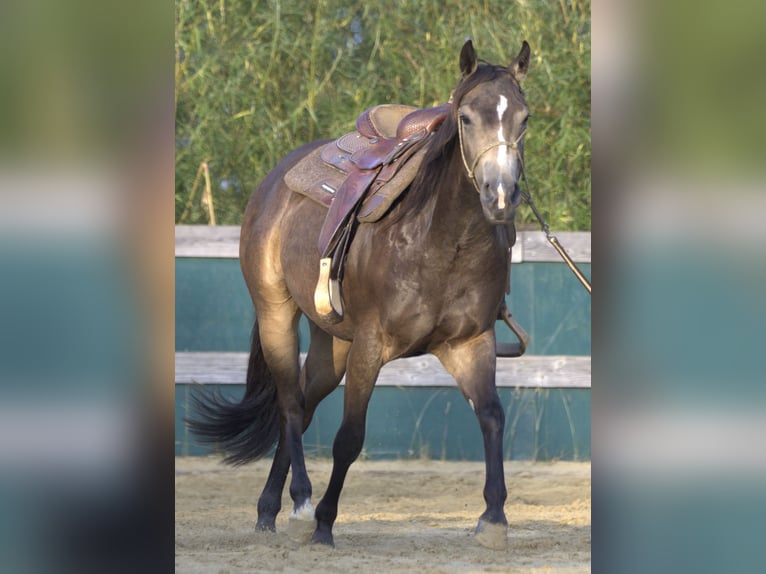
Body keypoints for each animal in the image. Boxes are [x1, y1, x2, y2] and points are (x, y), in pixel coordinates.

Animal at [188, 39, 531, 550]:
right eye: (467, 117)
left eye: (524, 118)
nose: (501, 196)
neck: (442, 238)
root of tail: (275, 180)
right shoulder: (372, 346)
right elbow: (349, 437)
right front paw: (324, 523)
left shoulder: (469, 344)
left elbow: (491, 416)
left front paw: (493, 518)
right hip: (277, 315)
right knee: (291, 406)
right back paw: (301, 505)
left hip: (332, 343)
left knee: (304, 402)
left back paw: (269, 510)